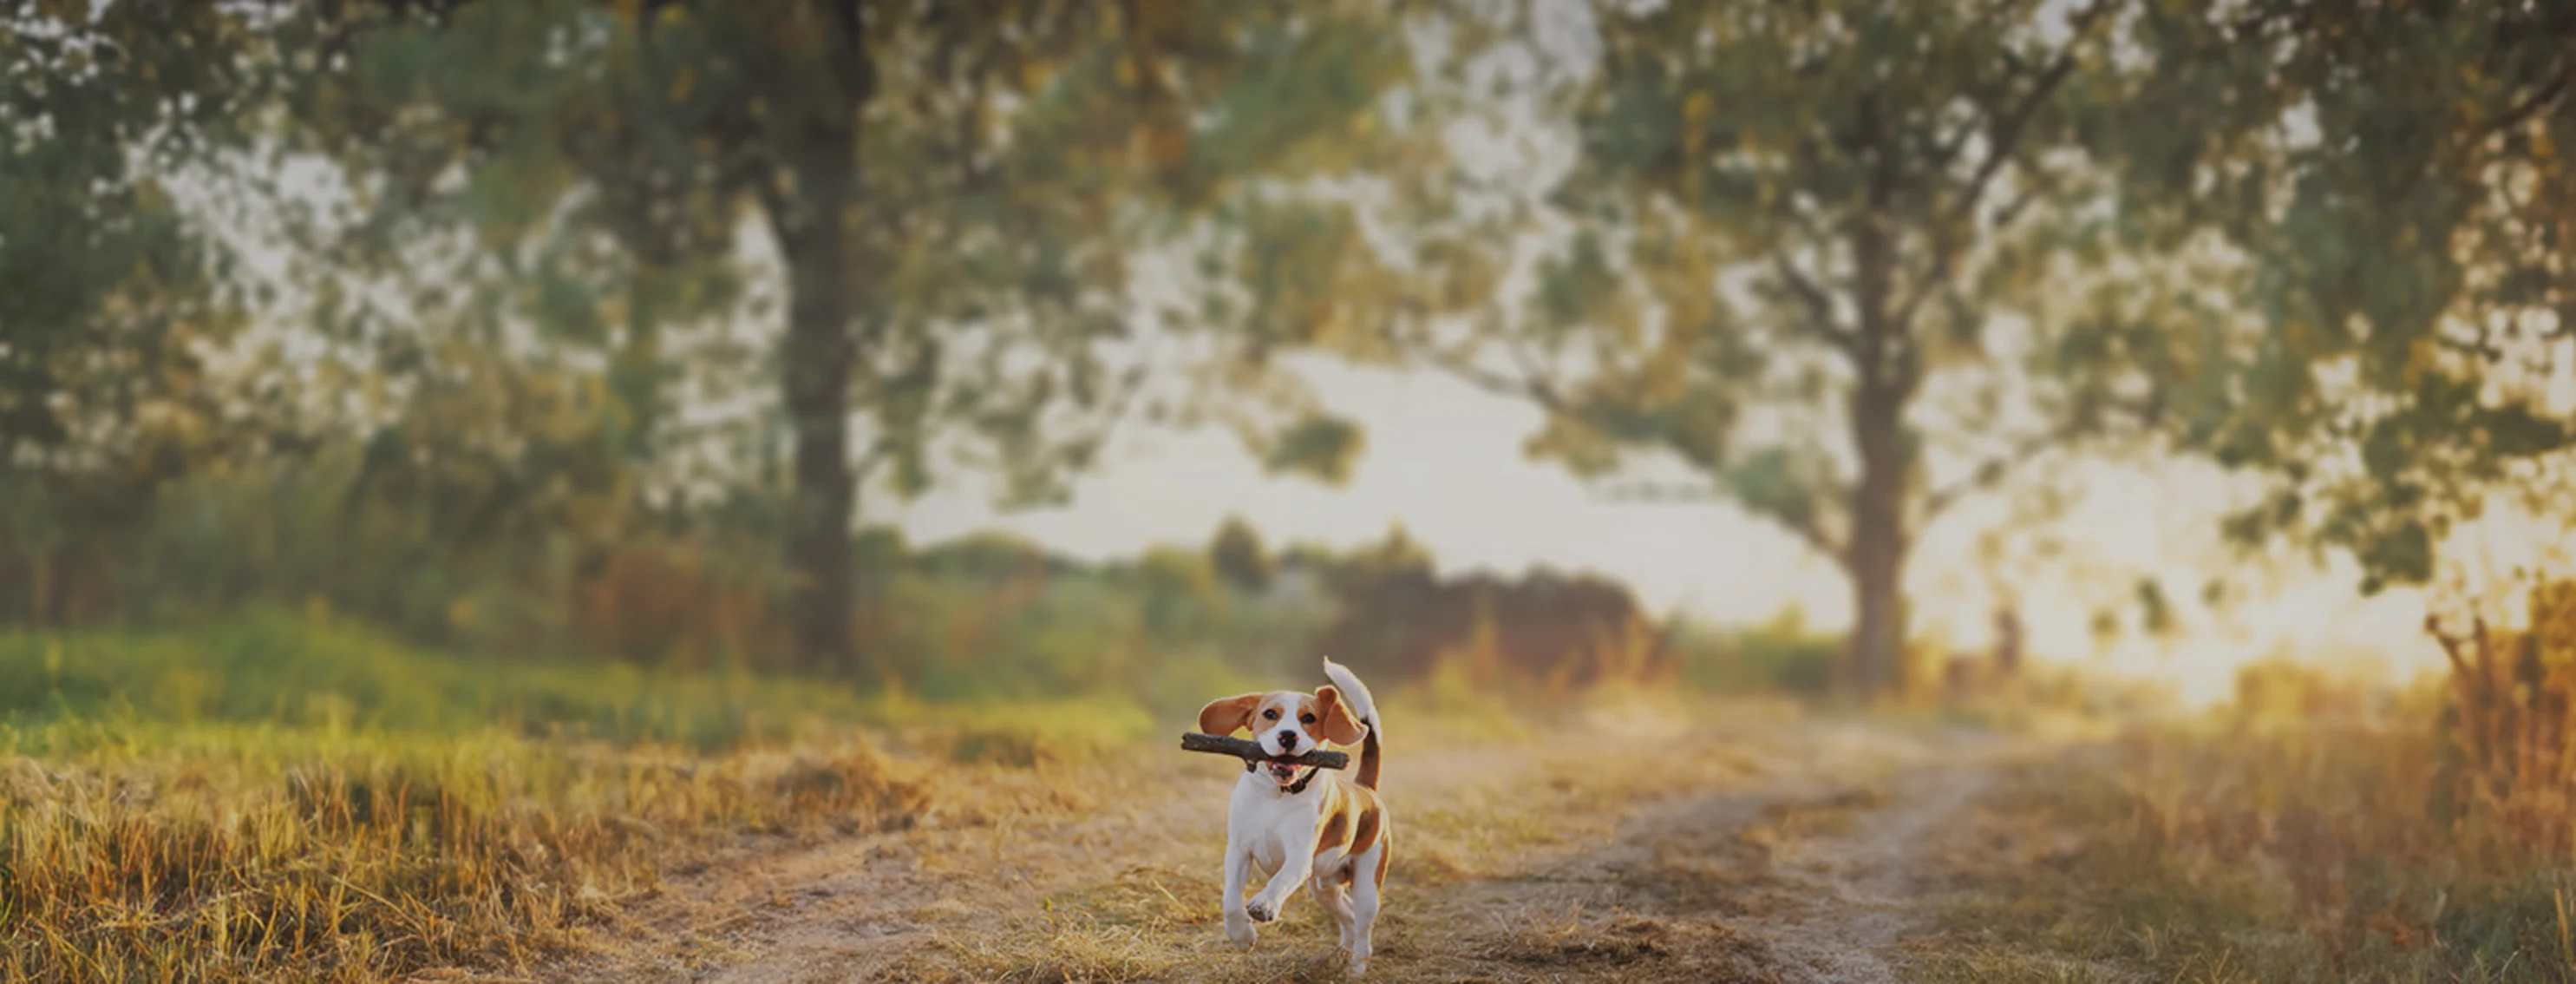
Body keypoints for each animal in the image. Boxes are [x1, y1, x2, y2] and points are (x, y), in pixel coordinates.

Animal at [1190, 656, 1380, 974]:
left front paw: (1264, 905)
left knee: (1364, 926)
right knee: (1349, 916)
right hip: (1324, 890)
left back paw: (1356, 966)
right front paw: (1241, 936)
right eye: (1270, 714)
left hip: (1367, 882)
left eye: (1309, 718)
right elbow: (1230, 899)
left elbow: (1279, 881)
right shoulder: (1238, 850)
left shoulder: (1299, 858)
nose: (1288, 736)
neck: (1276, 796)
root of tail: (1365, 788)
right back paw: (1342, 951)